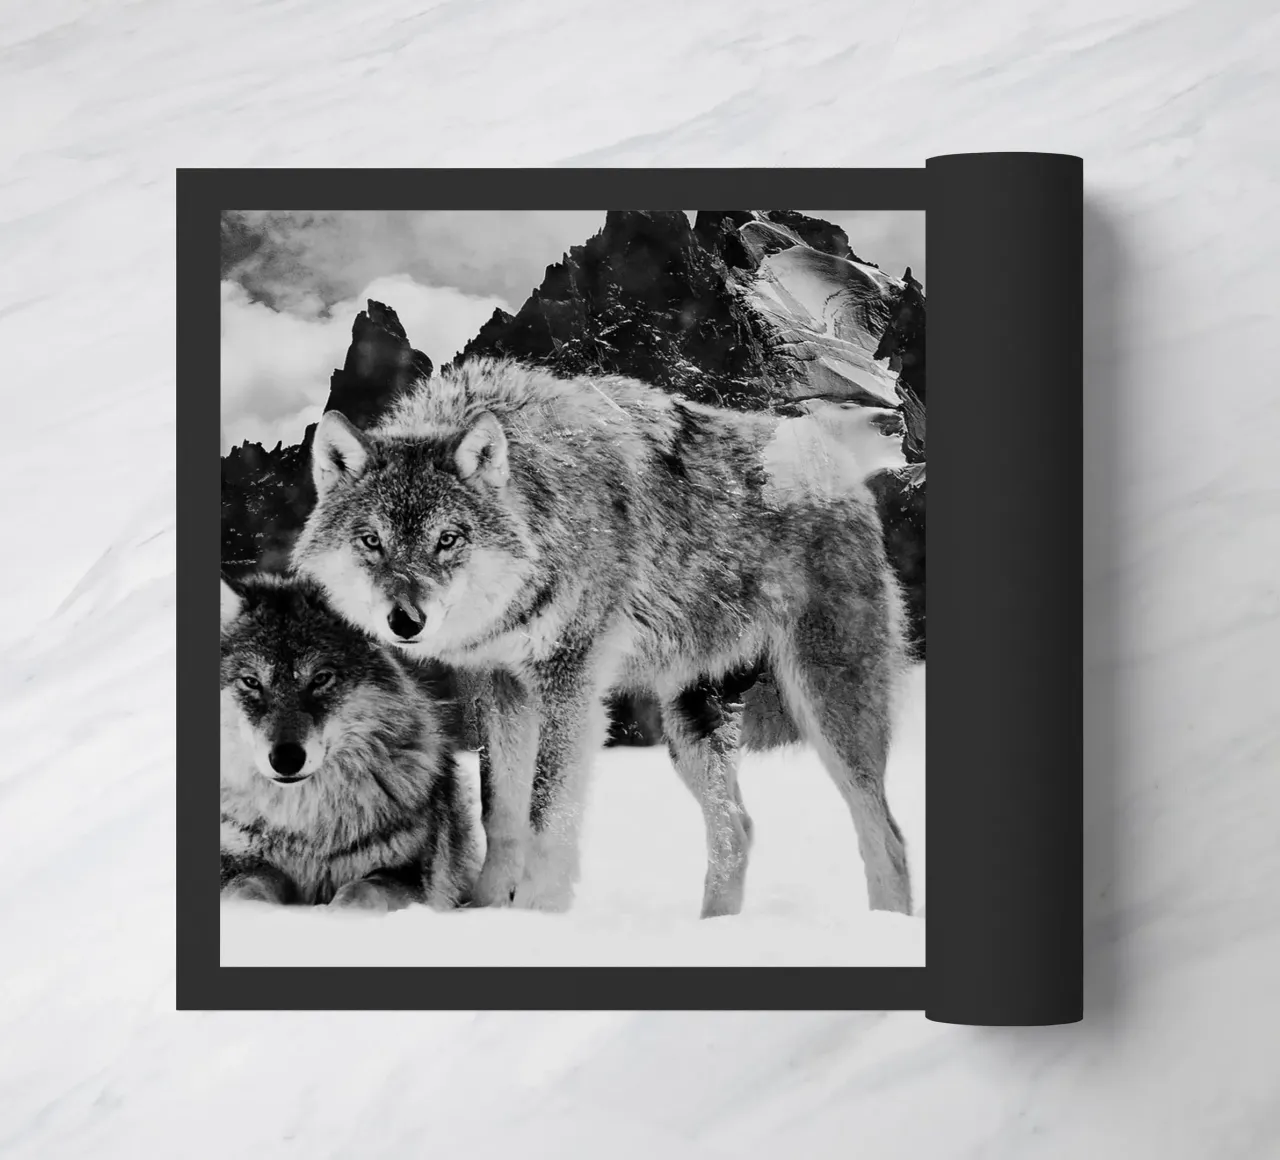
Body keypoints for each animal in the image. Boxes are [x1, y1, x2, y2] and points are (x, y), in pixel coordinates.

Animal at [219, 571, 479, 910]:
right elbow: (249, 885)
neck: (304, 826)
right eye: (251, 682)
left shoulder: (405, 876)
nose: (286, 759)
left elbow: (360, 891)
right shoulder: (237, 864)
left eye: (320, 679)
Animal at [292, 357, 912, 919]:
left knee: (886, 836)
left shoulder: (570, 680)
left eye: (447, 539)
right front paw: (487, 911)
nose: (405, 621)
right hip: (689, 722)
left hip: (827, 707)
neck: (545, 512)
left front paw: (537, 914)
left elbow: (547, 813)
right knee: (738, 828)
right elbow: (501, 810)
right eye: (371, 540)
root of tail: (833, 457)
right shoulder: (499, 685)